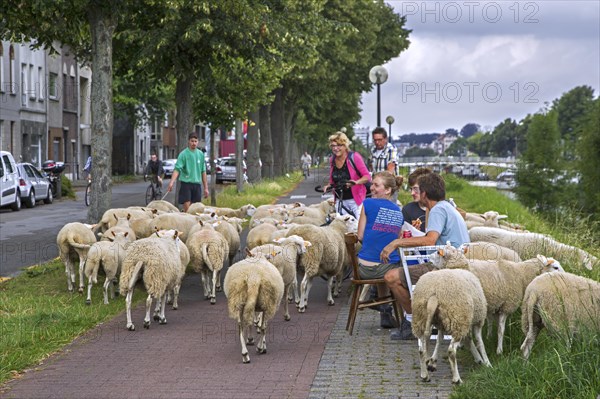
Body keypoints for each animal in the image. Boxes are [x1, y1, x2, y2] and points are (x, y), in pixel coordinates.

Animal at [432, 245, 564, 354]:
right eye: (555, 267)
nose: (564, 276)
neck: (521, 274)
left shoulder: (494, 304)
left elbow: (490, 321)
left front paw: (489, 337)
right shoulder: (506, 306)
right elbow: (501, 330)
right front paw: (499, 350)